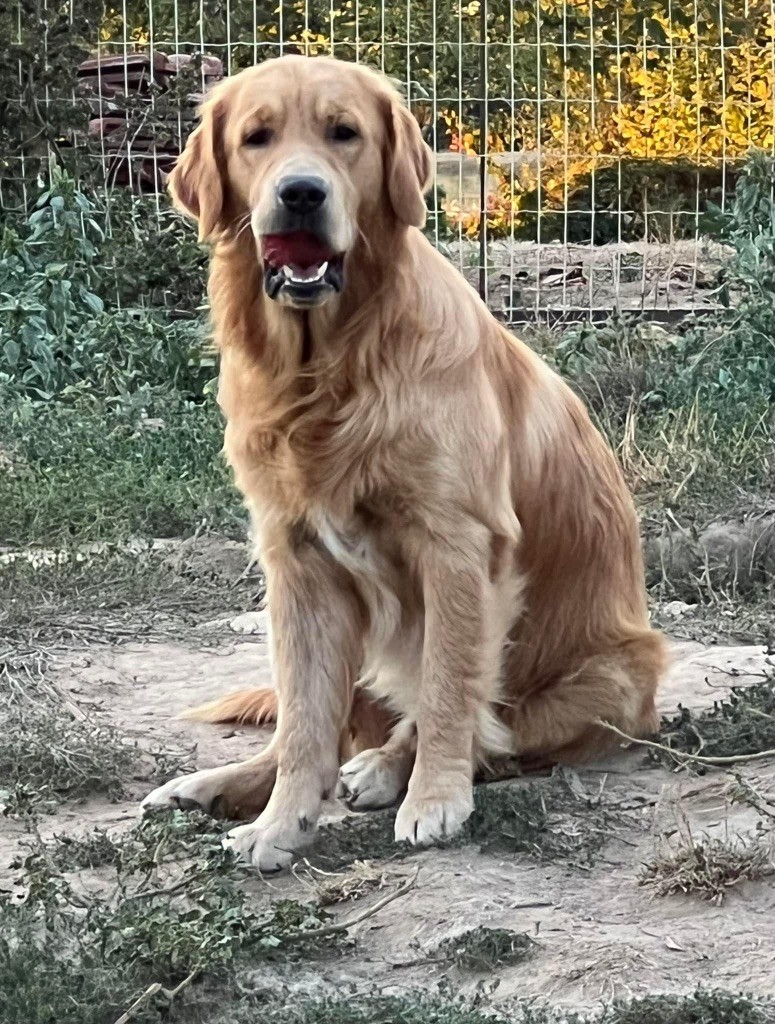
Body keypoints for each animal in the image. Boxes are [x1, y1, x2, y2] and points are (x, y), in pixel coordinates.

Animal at [143, 54, 663, 872]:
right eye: (257, 138)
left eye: (343, 133)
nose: (300, 194)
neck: (331, 365)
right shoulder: (296, 562)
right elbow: (303, 723)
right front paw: (280, 824)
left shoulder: (456, 545)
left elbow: (450, 689)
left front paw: (434, 798)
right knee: (319, 728)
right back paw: (215, 786)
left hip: (609, 672)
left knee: (480, 724)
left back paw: (389, 770)